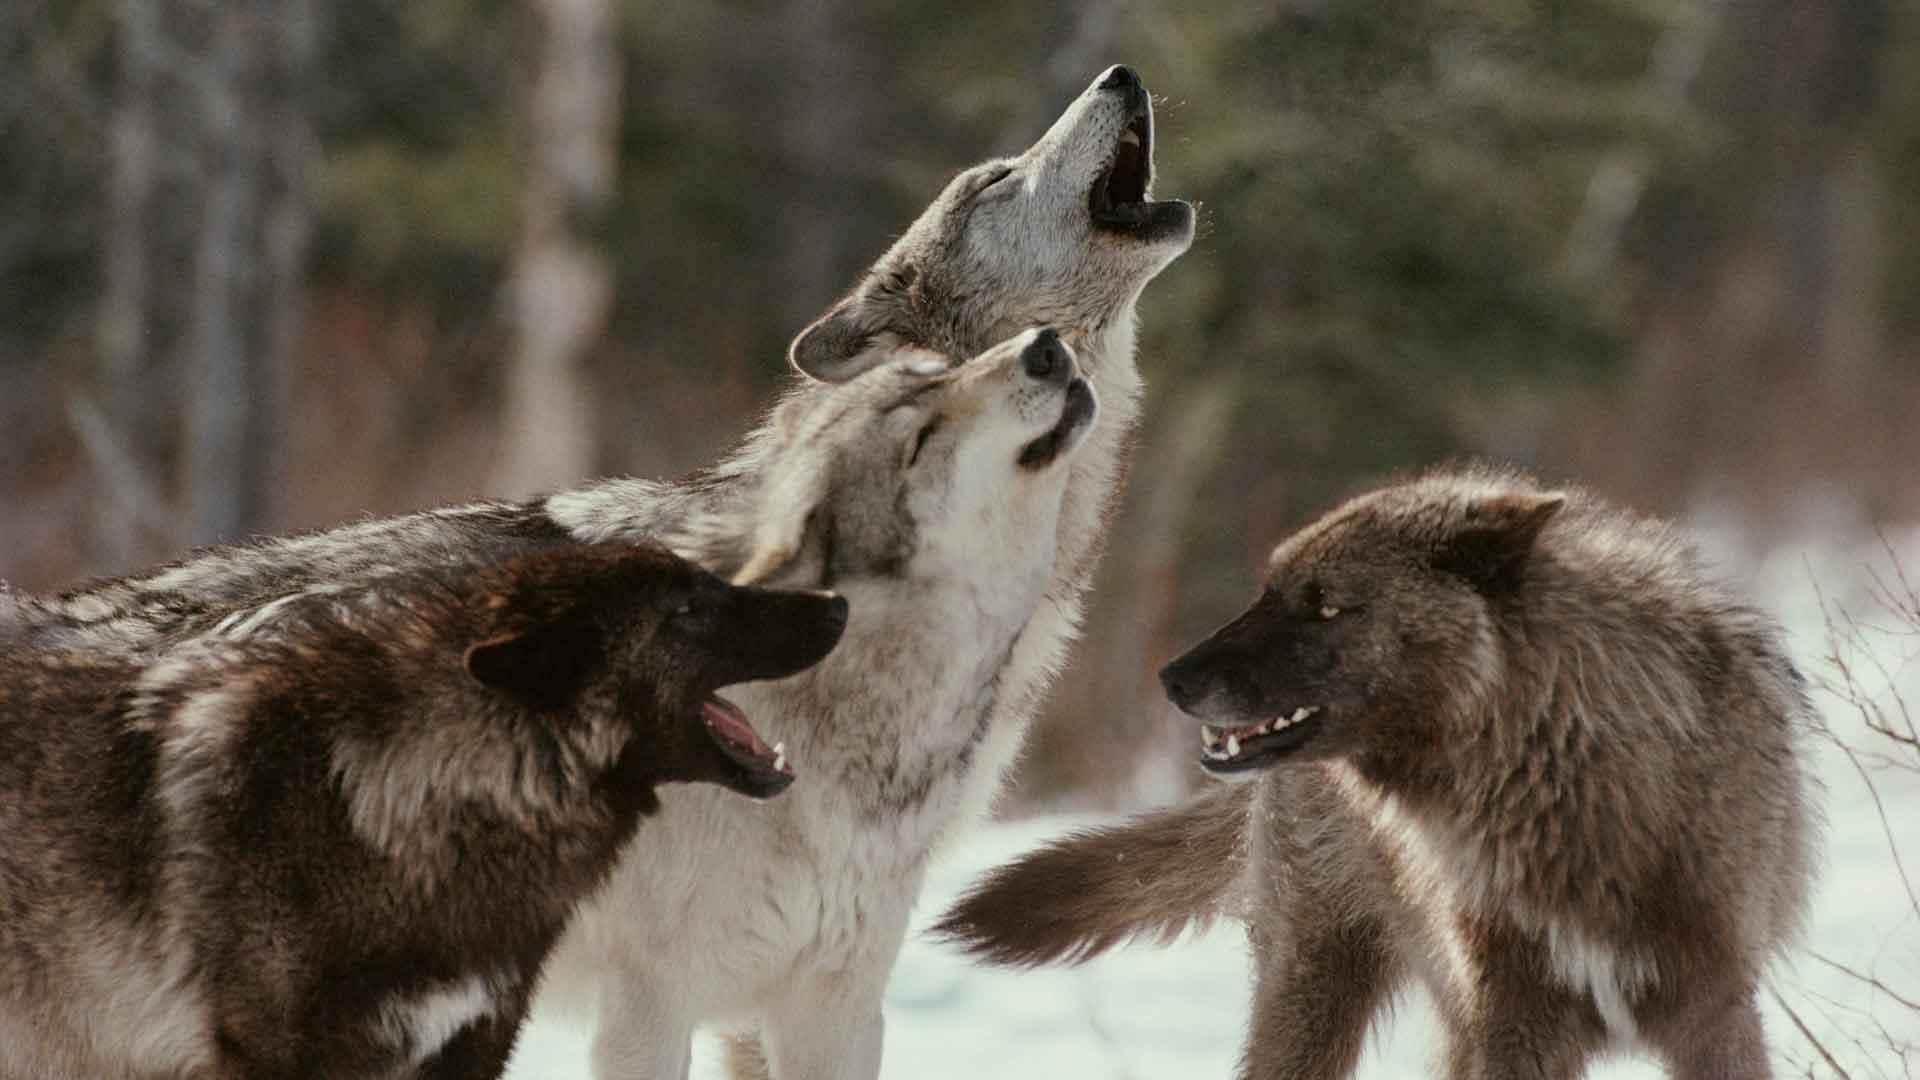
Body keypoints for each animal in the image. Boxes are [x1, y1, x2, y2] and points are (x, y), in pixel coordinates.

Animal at [937, 467, 1818, 1079]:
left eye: (1326, 606)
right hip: (1314, 993)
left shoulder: (1715, 1012)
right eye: (1269, 591)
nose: (1171, 677)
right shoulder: (1516, 1022)